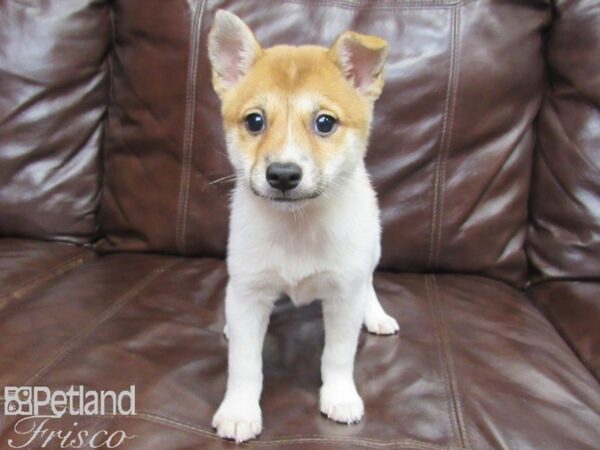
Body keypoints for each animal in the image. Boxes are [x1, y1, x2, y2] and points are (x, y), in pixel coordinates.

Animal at [206, 9, 398, 442]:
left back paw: (376, 315)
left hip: (371, 250)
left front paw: (340, 396)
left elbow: (338, 355)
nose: (282, 174)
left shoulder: (344, 294)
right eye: (254, 121)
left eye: (325, 123)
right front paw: (240, 409)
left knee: (370, 282)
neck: (298, 226)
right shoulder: (247, 291)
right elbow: (244, 363)